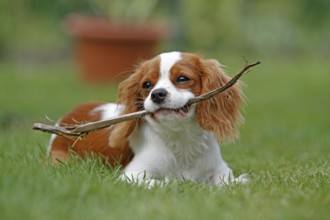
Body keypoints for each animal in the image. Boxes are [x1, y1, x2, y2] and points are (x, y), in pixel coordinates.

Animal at [47, 52, 246, 186]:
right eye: (147, 84)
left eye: (182, 79)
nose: (157, 94)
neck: (180, 138)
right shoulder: (131, 176)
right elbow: (164, 182)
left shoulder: (221, 169)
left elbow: (231, 182)